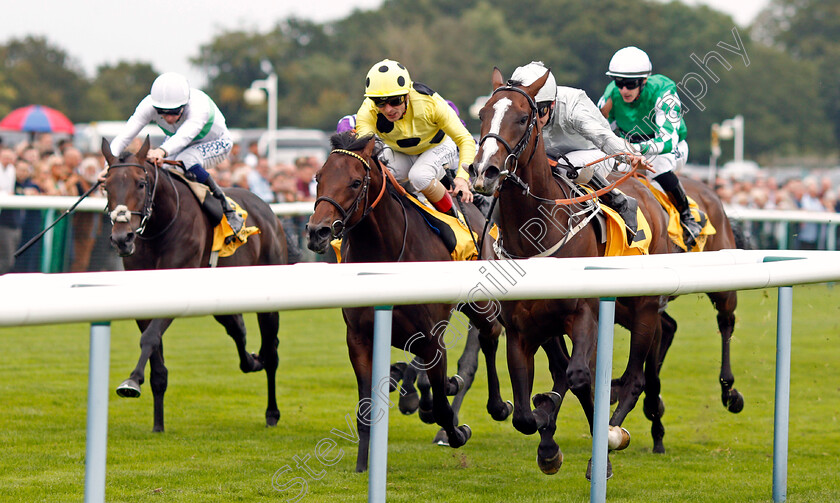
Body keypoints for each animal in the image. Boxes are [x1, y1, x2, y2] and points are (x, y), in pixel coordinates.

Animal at [101, 137, 292, 434]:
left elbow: (150, 338)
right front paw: (158, 424)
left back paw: (272, 412)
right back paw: (252, 360)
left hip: (269, 296)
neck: (161, 225)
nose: (122, 238)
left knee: (271, 352)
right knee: (237, 328)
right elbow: (157, 361)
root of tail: (268, 210)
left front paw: (131, 381)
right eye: (106, 186)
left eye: (141, 184)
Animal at [306, 133, 508, 472]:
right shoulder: (358, 339)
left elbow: (442, 408)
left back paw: (498, 405)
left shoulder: (432, 338)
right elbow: (365, 410)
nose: (316, 232)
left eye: (355, 182)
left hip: (478, 302)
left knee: (489, 334)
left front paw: (457, 432)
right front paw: (362, 466)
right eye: (319, 178)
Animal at [472, 67, 676, 476]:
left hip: (644, 308)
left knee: (633, 376)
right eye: (483, 114)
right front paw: (546, 439)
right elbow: (526, 411)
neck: (535, 233)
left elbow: (580, 376)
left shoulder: (584, 313)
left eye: (523, 118)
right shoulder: (523, 328)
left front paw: (601, 448)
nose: (484, 171)